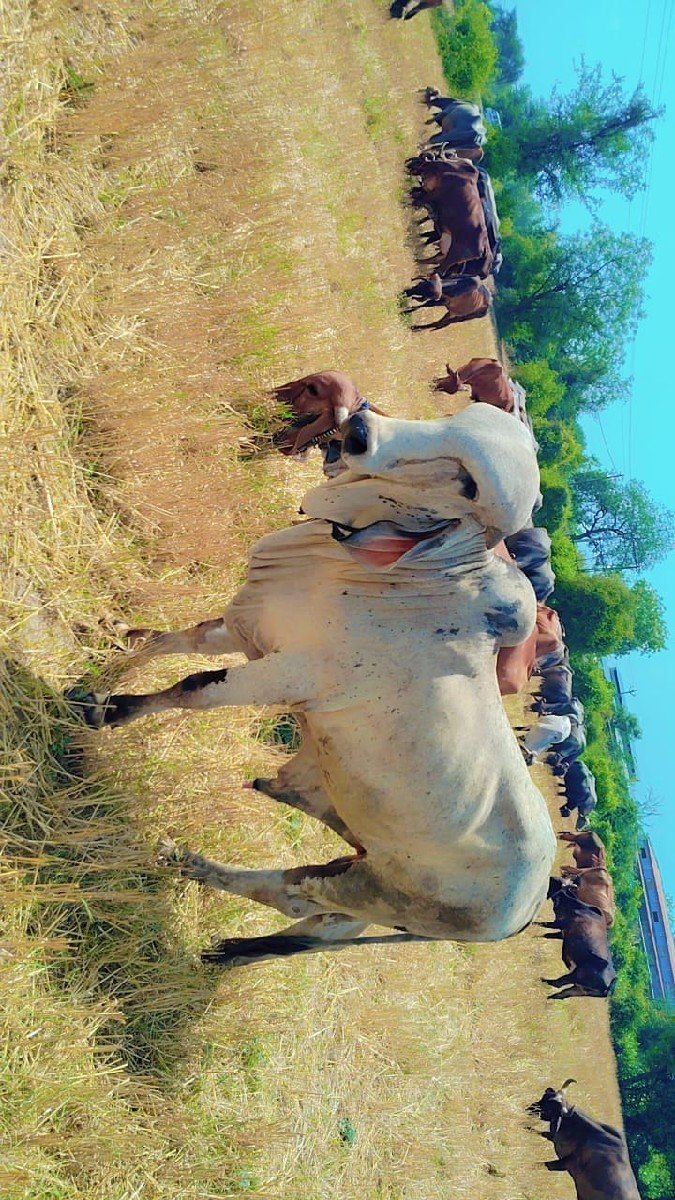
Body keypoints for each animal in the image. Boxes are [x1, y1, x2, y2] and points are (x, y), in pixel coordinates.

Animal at [70, 403, 556, 966]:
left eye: (466, 483)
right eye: (457, 416)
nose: (361, 428)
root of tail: (529, 907)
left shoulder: (285, 674)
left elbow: (192, 687)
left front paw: (108, 709)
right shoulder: (249, 627)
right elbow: (176, 641)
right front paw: (105, 666)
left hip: (370, 890)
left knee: (293, 892)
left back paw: (183, 862)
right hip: (360, 860)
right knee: (313, 920)